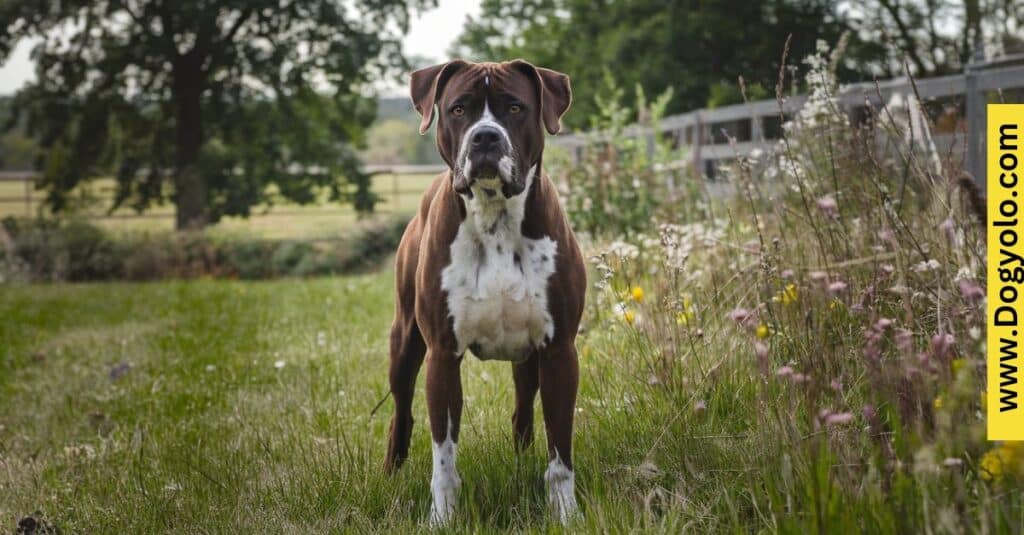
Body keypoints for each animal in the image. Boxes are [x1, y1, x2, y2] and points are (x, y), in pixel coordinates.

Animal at [385, 60, 589, 522]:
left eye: (514, 107)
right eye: (458, 109)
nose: (485, 137)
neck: (495, 215)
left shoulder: (558, 351)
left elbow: (560, 449)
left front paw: (565, 512)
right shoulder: (442, 354)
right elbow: (444, 457)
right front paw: (441, 519)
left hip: (529, 360)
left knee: (523, 411)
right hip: (405, 342)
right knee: (401, 412)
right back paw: (390, 471)